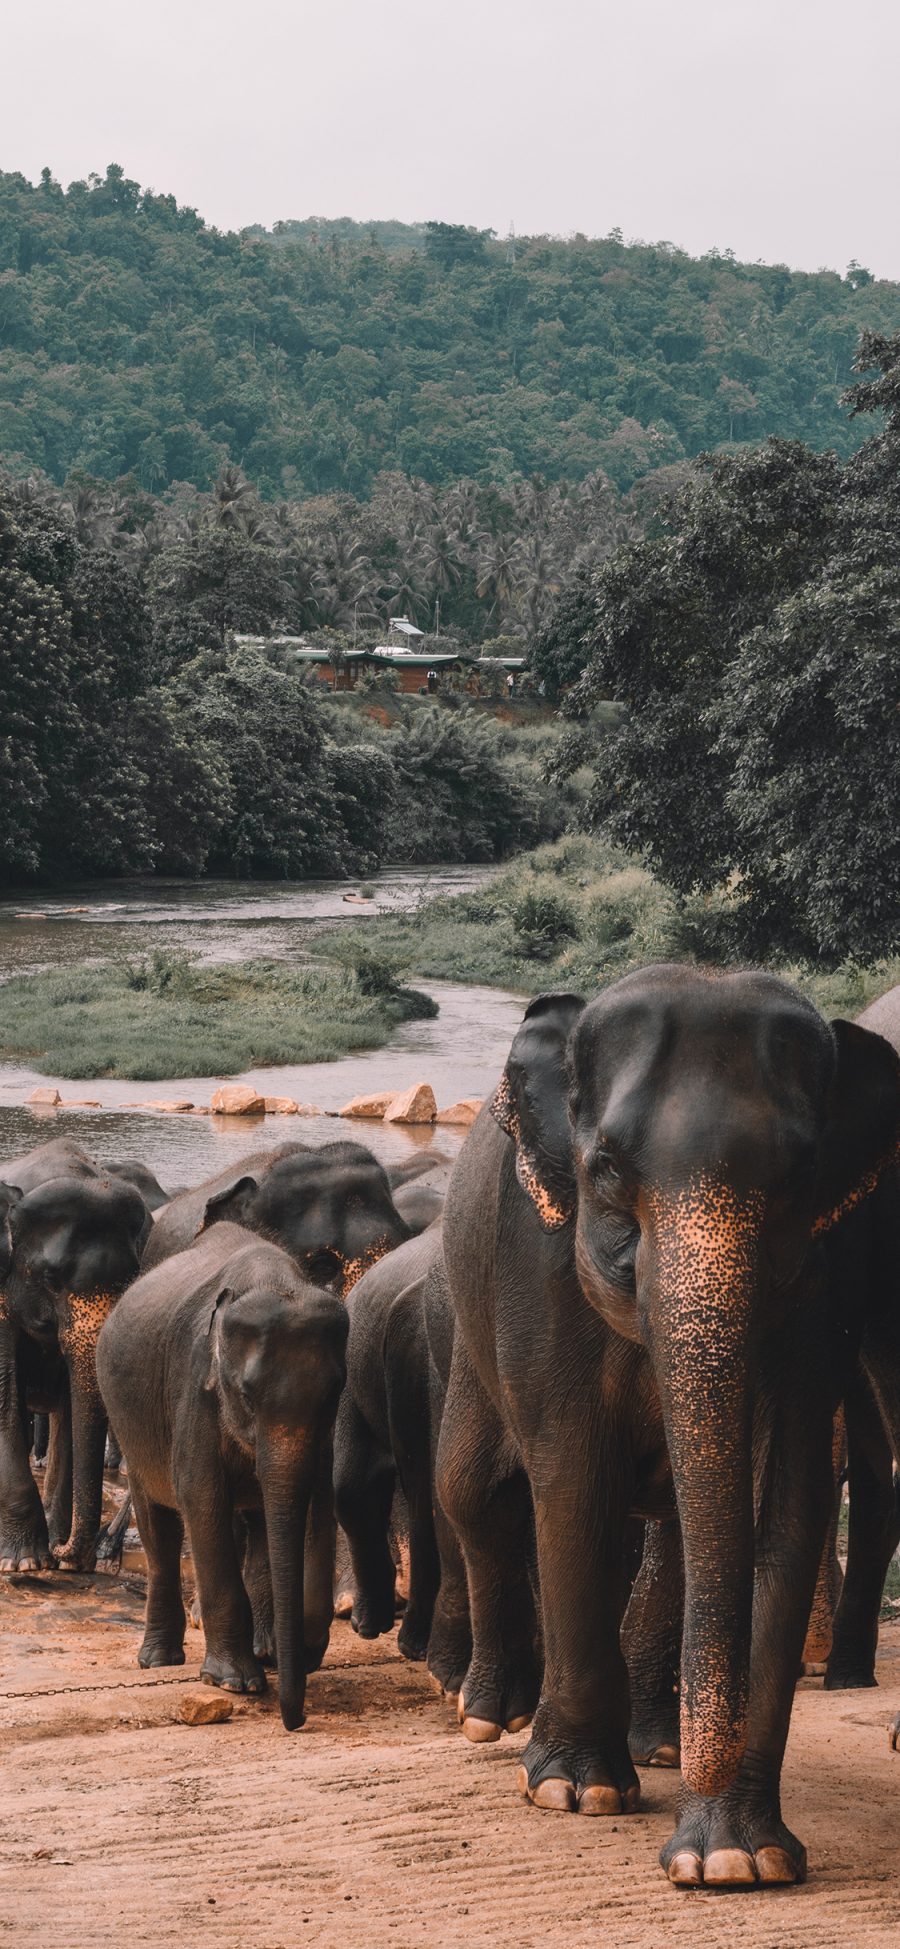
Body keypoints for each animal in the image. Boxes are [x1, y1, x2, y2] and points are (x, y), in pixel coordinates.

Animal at [0, 1138, 150, 1566]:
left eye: (133, 1278)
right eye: (50, 1278)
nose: (64, 1550)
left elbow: (72, 1404)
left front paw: (55, 1553)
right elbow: (5, 1394)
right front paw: (25, 1560)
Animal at [96, 1223, 346, 1730]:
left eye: (334, 1393)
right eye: (246, 1395)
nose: (295, 1721)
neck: (274, 1281)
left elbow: (314, 1501)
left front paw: (294, 1652)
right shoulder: (195, 1388)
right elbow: (202, 1498)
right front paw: (235, 1682)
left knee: (255, 1522)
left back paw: (264, 1648)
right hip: (131, 1424)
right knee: (160, 1526)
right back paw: (159, 1660)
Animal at [436, 970, 900, 1886]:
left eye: (800, 1175)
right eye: (606, 1166)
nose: (703, 1769)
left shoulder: (827, 1281)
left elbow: (782, 1504)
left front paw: (737, 1858)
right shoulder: (536, 1261)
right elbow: (574, 1484)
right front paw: (576, 1793)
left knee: (678, 1530)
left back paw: (658, 1746)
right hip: (468, 1318)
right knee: (475, 1489)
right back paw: (494, 1719)